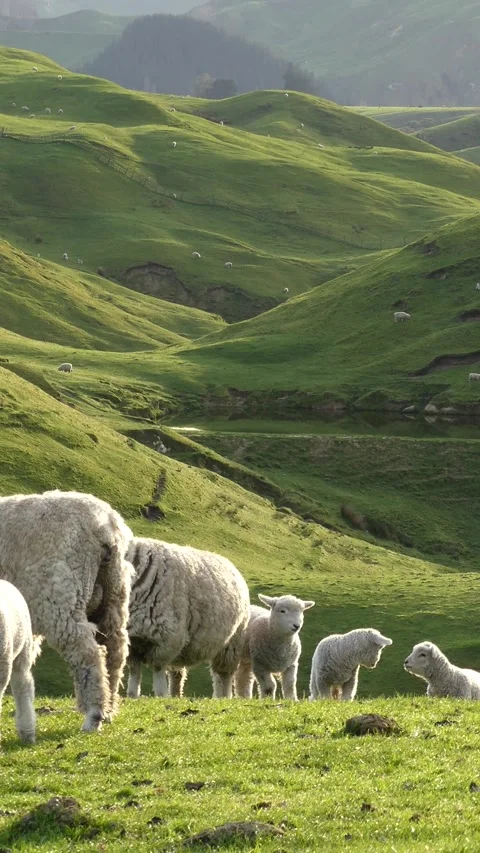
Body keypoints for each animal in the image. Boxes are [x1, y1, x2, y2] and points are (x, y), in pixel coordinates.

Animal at [0, 490, 133, 732]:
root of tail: (106, 522)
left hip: (60, 598)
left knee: (88, 652)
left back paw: (94, 715)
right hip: (113, 592)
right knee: (115, 651)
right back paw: (108, 709)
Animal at [126, 537, 250, 699]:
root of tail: (227, 562)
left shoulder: (167, 639)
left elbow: (157, 670)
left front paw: (161, 695)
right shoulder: (132, 640)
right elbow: (134, 672)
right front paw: (132, 696)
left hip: (231, 643)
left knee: (223, 676)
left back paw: (222, 697)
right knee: (178, 675)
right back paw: (176, 694)